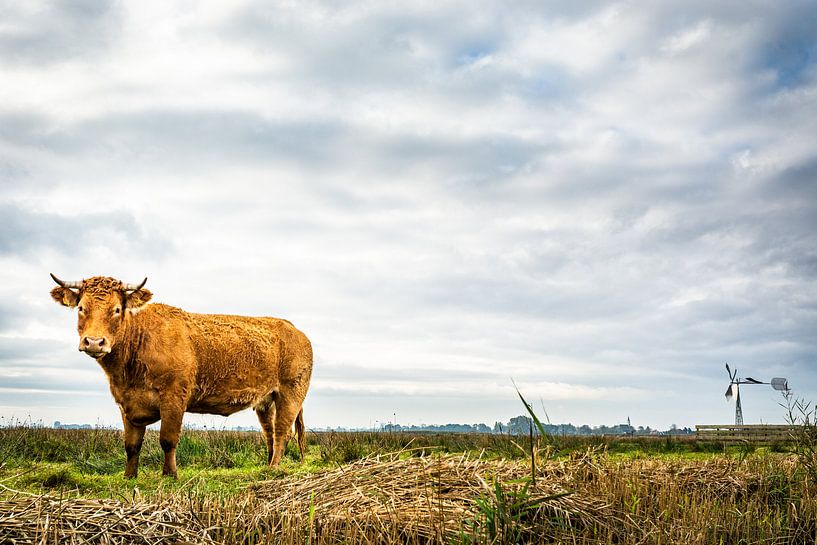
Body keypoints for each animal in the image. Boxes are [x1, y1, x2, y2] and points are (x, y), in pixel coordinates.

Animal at [49, 274, 313, 478]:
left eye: (116, 309)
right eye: (81, 308)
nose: (94, 342)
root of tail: (293, 328)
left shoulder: (174, 398)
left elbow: (168, 439)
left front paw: (170, 474)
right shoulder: (127, 404)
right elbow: (132, 445)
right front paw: (129, 476)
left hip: (290, 394)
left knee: (282, 432)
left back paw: (274, 468)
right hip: (266, 401)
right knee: (269, 433)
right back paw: (267, 465)